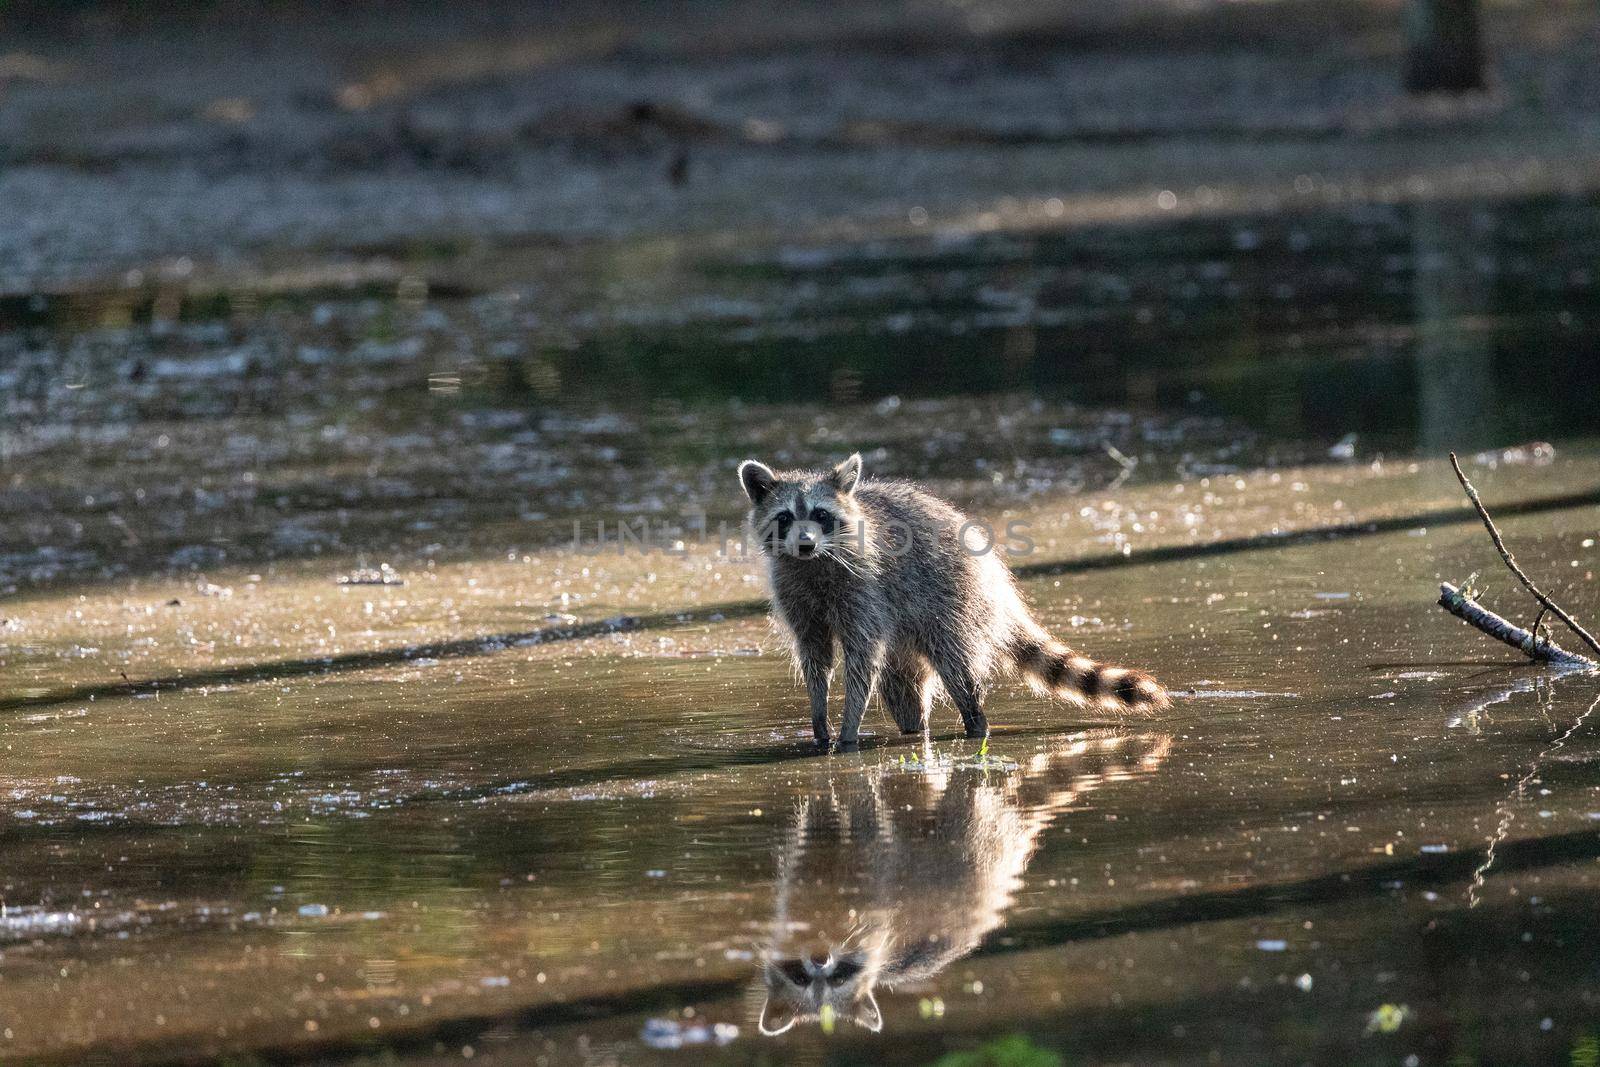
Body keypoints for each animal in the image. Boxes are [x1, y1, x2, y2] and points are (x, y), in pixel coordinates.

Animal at [739, 454, 1177, 751]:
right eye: (784, 517)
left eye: (820, 515)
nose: (805, 543)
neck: (812, 564)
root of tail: (996, 582)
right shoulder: (797, 595)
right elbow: (815, 656)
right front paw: (820, 717)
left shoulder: (866, 589)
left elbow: (862, 659)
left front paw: (849, 726)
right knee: (904, 692)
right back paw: (914, 727)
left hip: (953, 602)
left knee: (958, 670)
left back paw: (976, 723)